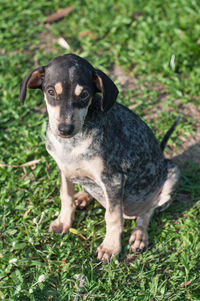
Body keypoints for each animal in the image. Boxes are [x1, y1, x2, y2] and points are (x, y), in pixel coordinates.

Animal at [19, 55, 180, 262]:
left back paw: (139, 235)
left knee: (147, 212)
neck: (71, 145)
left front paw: (111, 247)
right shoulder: (63, 168)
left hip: (172, 174)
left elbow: (113, 217)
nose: (65, 129)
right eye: (51, 91)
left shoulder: (114, 180)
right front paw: (63, 222)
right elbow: (65, 196)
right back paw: (83, 196)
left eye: (84, 94)